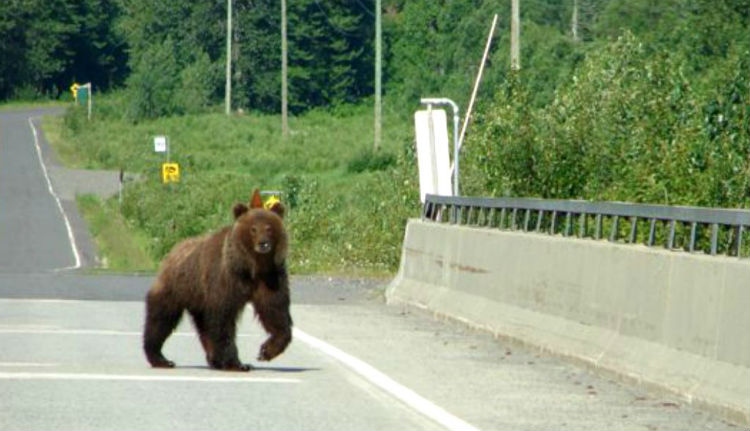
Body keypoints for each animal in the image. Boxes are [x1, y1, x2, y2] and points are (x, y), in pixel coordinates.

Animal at [144, 189, 294, 372]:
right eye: (253, 229)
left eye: (269, 227)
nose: (263, 244)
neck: (251, 266)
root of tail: (173, 250)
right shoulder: (224, 279)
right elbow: (222, 319)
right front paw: (236, 363)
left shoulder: (270, 278)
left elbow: (275, 310)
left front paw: (266, 351)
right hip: (177, 286)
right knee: (161, 317)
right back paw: (160, 358)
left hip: (198, 299)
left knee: (202, 325)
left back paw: (213, 359)